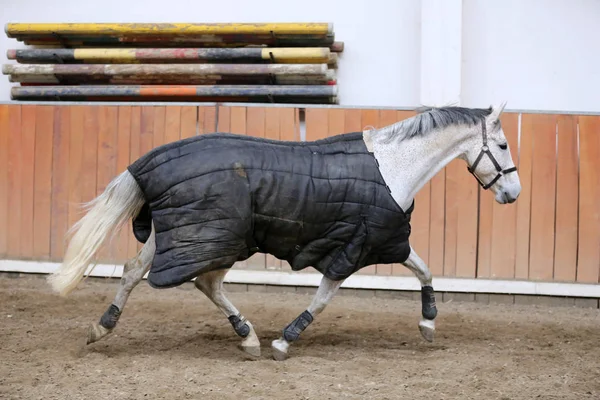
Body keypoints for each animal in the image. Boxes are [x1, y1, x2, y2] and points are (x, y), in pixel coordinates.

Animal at [48, 102, 520, 360]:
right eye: (501, 145)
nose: (512, 193)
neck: (392, 170)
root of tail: (146, 164)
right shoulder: (356, 247)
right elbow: (325, 299)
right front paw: (285, 341)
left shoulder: (387, 241)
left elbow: (425, 270)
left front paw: (428, 326)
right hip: (217, 239)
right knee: (203, 282)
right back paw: (250, 337)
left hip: (182, 233)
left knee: (136, 271)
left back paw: (102, 328)